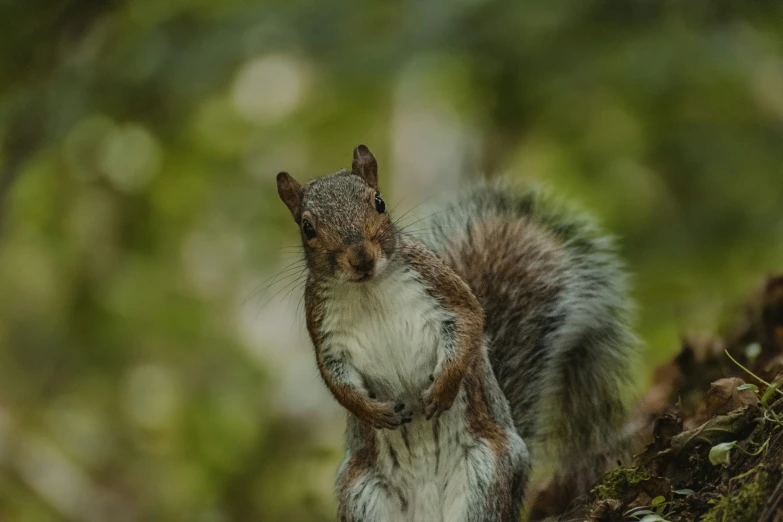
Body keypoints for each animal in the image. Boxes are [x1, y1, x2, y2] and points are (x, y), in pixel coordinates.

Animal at [276, 144, 636, 520]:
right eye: (307, 228)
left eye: (379, 202)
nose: (361, 258)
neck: (368, 289)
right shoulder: (325, 333)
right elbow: (335, 380)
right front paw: (371, 411)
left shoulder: (444, 289)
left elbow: (471, 324)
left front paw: (443, 390)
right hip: (363, 494)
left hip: (486, 473)